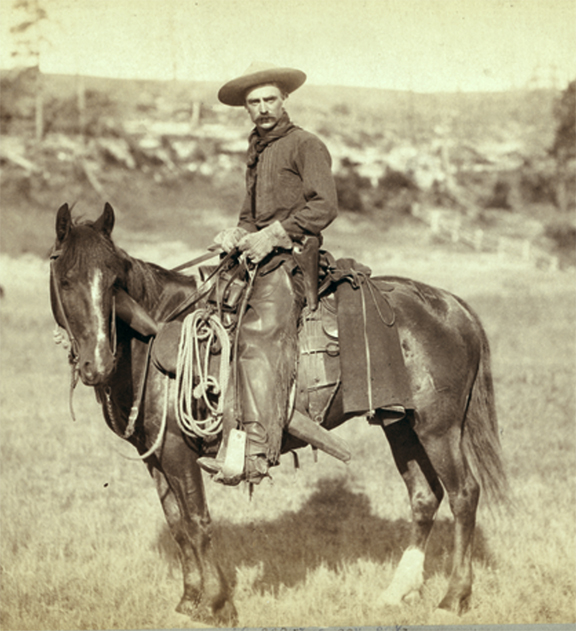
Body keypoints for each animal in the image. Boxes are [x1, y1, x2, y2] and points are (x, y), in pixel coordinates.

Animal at [49, 202, 507, 625]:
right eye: (66, 280)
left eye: (114, 282)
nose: (97, 364)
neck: (153, 336)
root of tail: (452, 306)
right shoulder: (156, 456)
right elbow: (178, 526)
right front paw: (188, 601)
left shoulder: (179, 451)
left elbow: (198, 522)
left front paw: (217, 604)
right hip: (400, 425)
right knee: (425, 496)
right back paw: (397, 591)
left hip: (439, 427)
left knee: (464, 494)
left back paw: (454, 597)